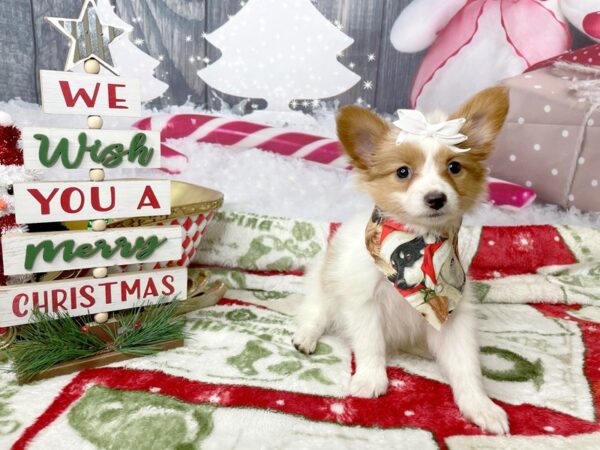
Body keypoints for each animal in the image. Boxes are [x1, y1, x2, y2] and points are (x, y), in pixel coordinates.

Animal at [292, 86, 508, 434]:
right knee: (315, 315)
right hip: (324, 289)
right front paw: (370, 379)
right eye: (403, 172)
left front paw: (481, 406)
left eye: (454, 168)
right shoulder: (364, 302)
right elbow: (370, 344)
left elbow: (466, 365)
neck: (424, 243)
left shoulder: (454, 316)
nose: (436, 198)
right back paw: (305, 338)